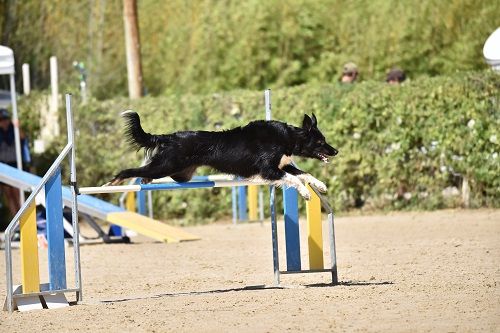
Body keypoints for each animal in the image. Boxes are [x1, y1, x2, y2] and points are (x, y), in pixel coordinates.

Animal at [107, 111, 338, 200]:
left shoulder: (282, 165)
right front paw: (306, 193)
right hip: (166, 164)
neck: (287, 137)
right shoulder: (268, 170)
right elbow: (293, 179)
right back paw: (113, 181)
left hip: (180, 174)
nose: (336, 151)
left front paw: (320, 186)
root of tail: (170, 137)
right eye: (320, 142)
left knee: (148, 173)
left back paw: (145, 180)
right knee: (130, 170)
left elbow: (304, 174)